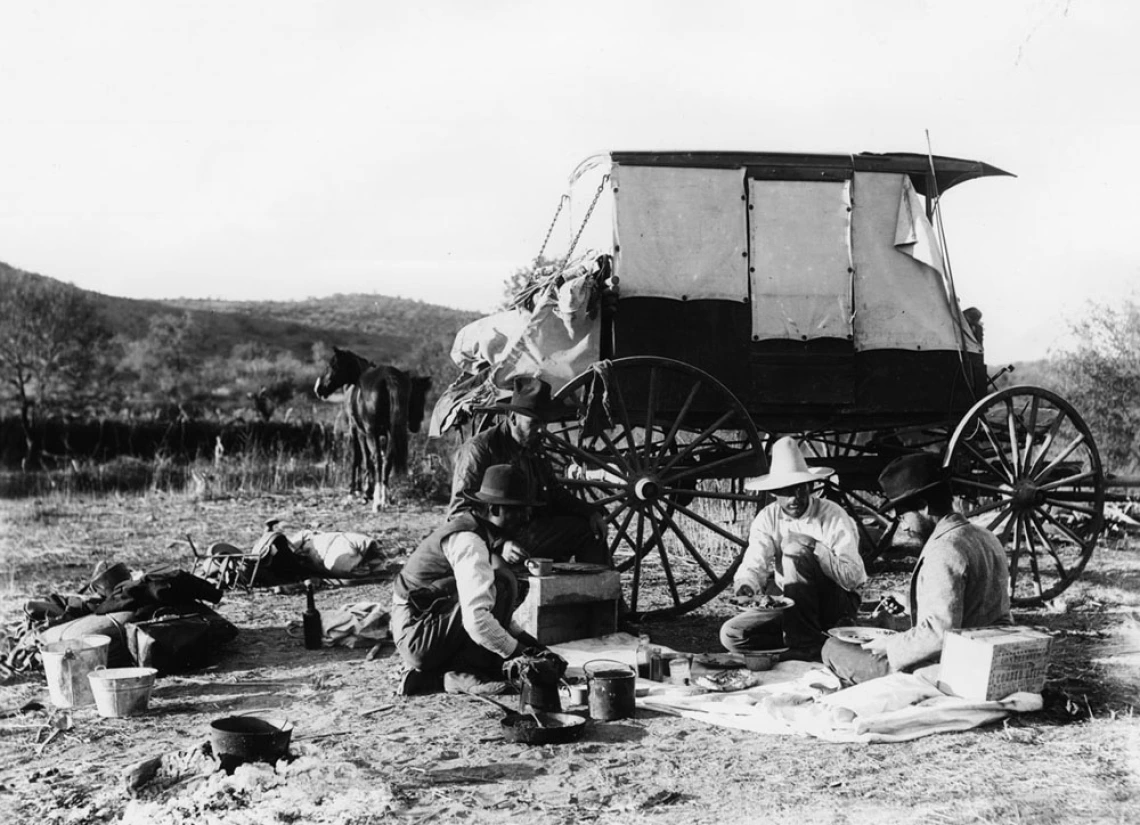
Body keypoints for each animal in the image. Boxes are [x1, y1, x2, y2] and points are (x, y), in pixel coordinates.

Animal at [312, 346, 430, 508]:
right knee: (387, 459)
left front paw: (359, 491)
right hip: (389, 434)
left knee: (376, 459)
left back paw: (377, 500)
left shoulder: (358, 432)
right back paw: (384, 497)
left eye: (332, 365)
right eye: (415, 397)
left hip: (370, 433)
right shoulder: (384, 435)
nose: (318, 389)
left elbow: (360, 459)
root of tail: (387, 377)